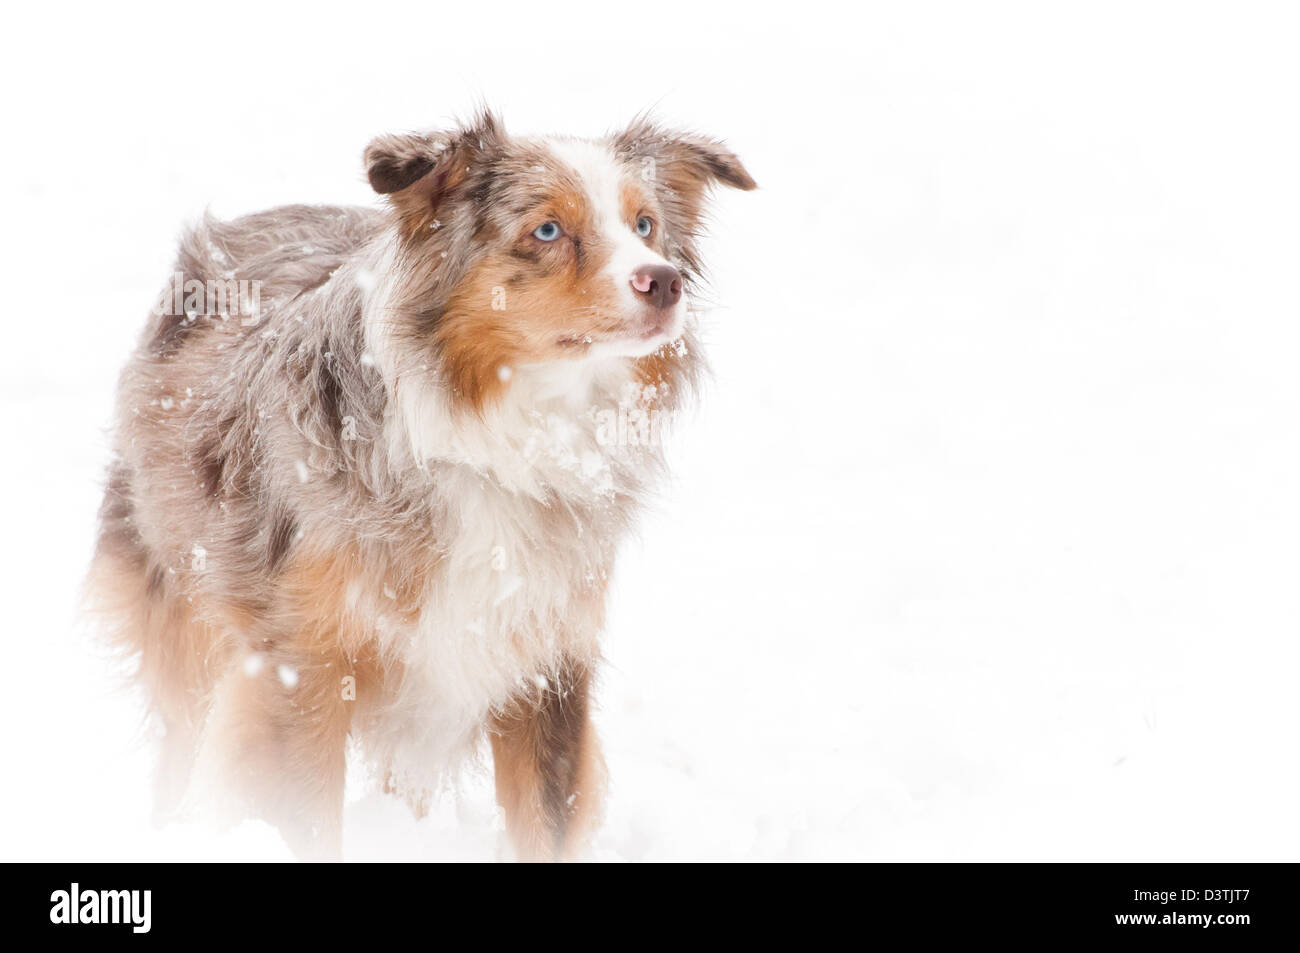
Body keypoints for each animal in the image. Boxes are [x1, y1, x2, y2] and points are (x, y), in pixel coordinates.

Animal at [86, 111, 759, 863]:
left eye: (645, 225)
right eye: (547, 231)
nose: (665, 282)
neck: (507, 438)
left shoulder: (546, 661)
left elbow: (542, 822)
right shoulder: (300, 665)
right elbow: (307, 821)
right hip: (181, 609)